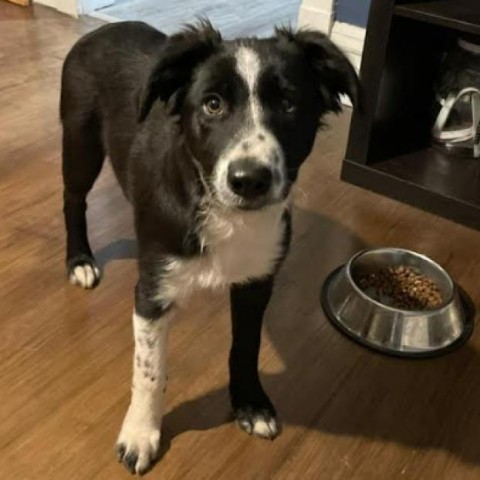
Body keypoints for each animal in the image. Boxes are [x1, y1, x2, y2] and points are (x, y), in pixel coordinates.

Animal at [61, 20, 356, 474]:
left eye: (289, 104)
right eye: (212, 105)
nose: (249, 180)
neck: (220, 209)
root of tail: (101, 29)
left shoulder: (257, 282)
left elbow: (246, 347)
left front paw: (250, 404)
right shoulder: (151, 291)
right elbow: (148, 369)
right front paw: (140, 433)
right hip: (80, 141)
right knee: (73, 200)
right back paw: (80, 260)